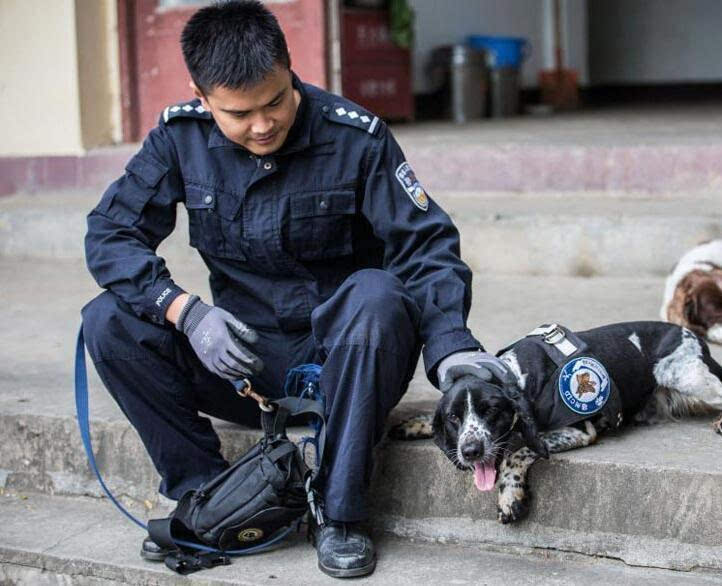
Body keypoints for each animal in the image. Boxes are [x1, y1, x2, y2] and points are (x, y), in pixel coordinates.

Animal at [390, 322, 720, 524]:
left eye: (491, 410)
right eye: (454, 417)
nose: (470, 451)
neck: (517, 374)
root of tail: (691, 334)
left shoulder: (579, 430)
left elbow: (517, 452)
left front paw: (510, 496)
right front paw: (415, 423)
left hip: (689, 377)